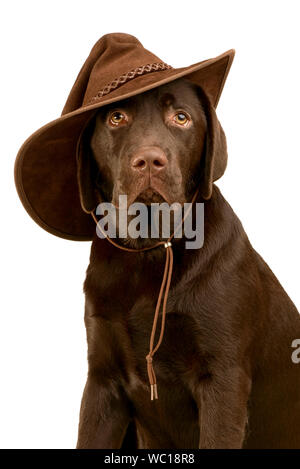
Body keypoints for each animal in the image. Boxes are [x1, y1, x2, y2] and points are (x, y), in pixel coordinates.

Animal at [75, 77, 300, 450]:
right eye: (117, 117)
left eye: (181, 118)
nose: (149, 160)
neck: (150, 252)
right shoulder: (103, 380)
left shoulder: (223, 379)